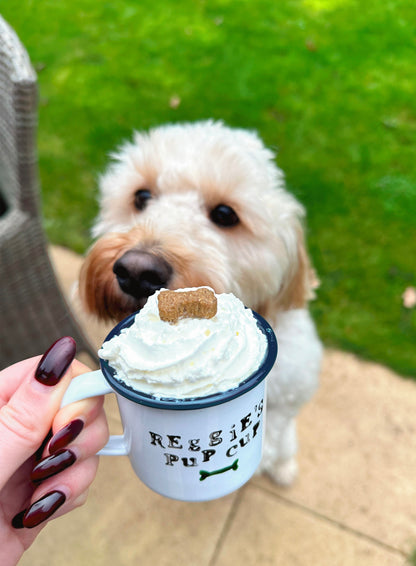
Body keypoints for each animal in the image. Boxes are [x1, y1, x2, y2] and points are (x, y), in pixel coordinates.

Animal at [79, 121, 324, 488]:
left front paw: (270, 461)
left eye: (225, 213)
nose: (136, 272)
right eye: (141, 196)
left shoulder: (293, 387)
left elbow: (278, 429)